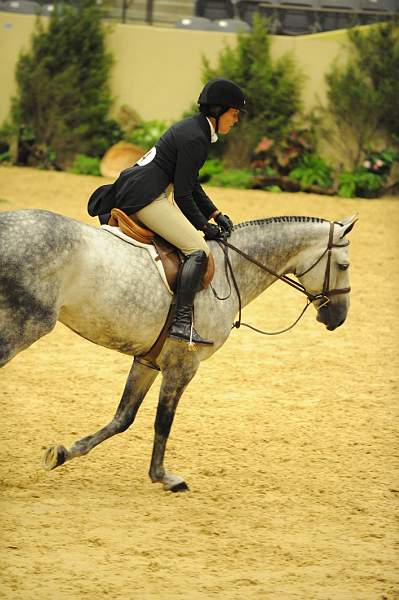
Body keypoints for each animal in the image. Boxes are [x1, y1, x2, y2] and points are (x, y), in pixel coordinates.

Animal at [0, 211, 356, 492]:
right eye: (344, 264)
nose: (338, 318)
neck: (230, 272)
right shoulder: (183, 364)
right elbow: (163, 421)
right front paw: (164, 477)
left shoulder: (148, 361)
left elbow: (123, 418)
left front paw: (61, 454)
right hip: (26, 326)